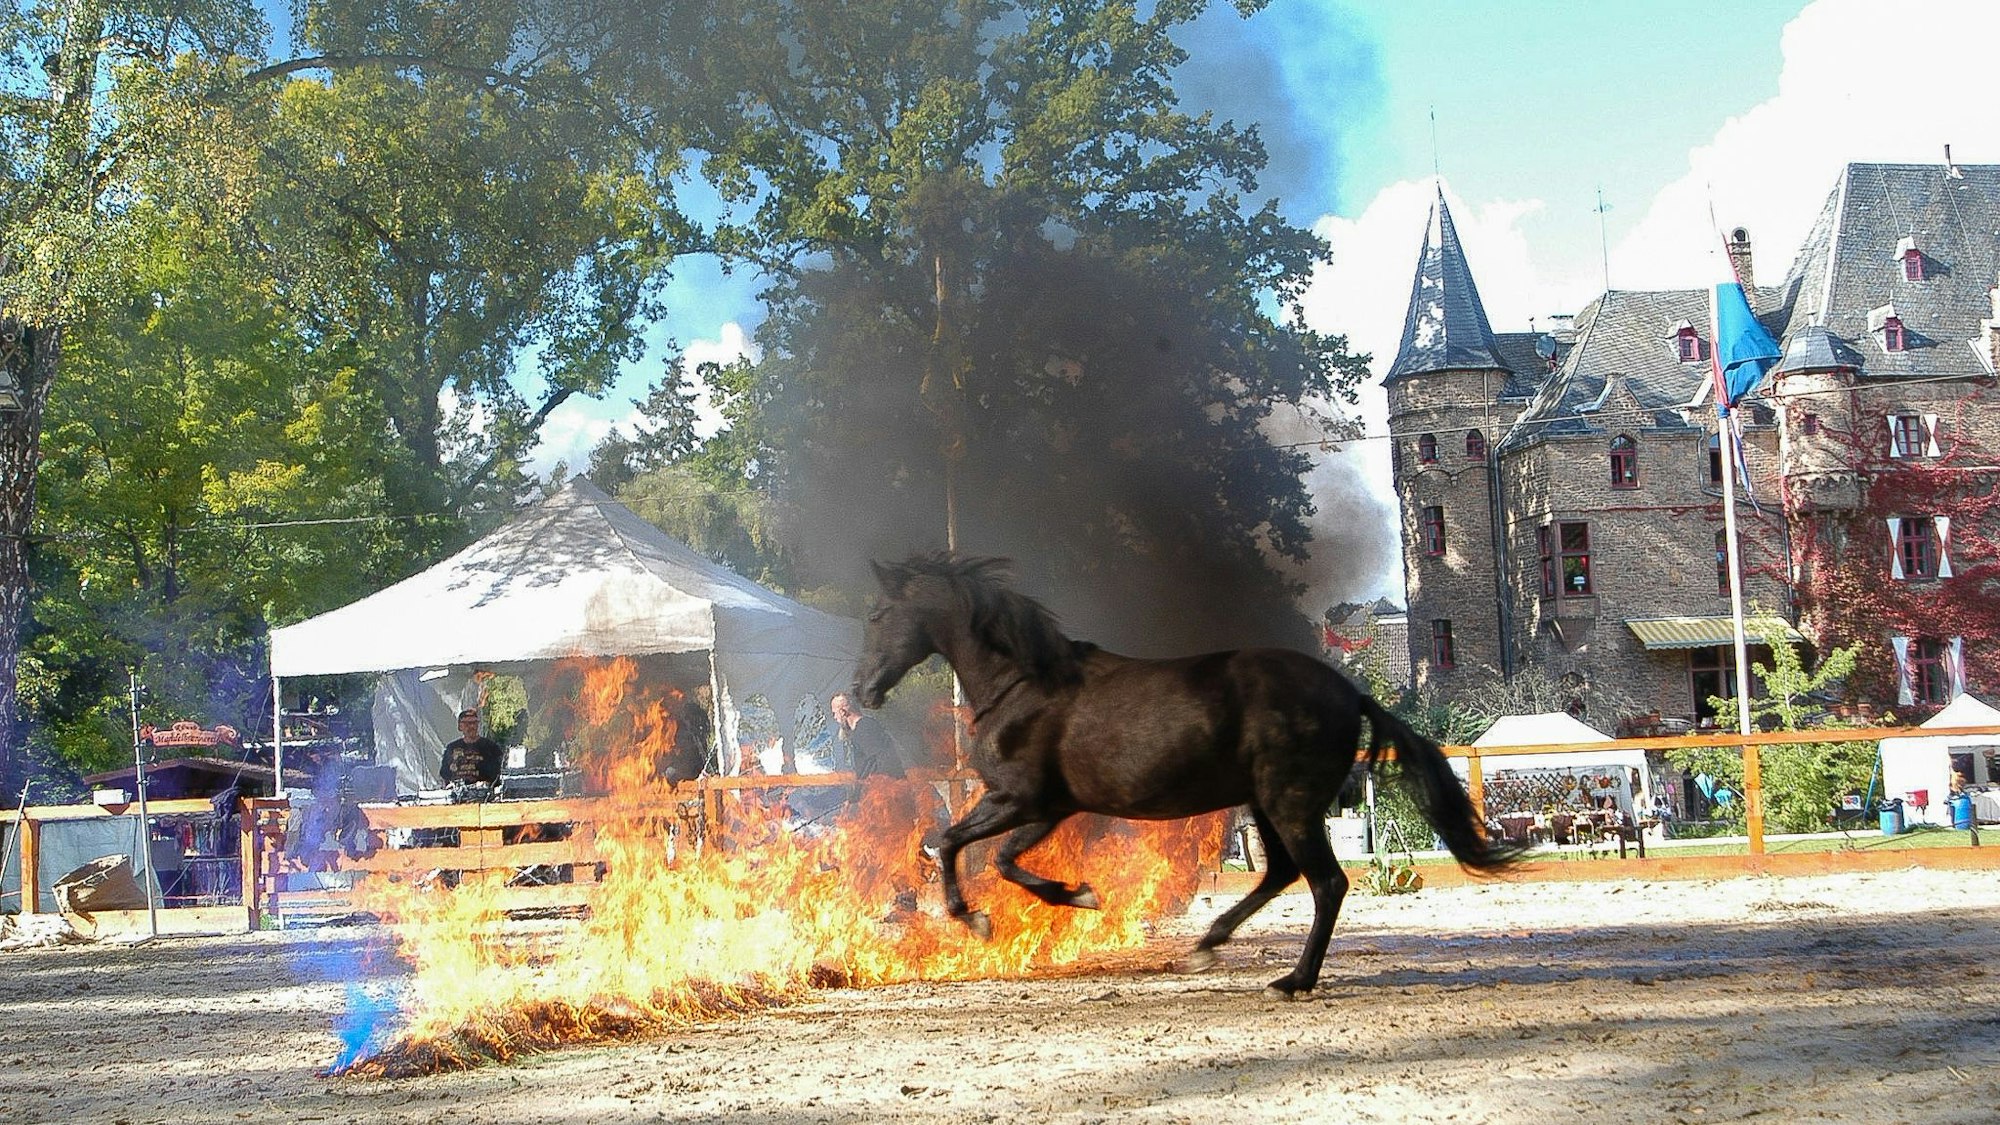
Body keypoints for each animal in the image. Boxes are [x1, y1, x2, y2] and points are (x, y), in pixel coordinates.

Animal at [852, 553, 1522, 998]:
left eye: (880, 613)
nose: (862, 692)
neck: (1024, 685)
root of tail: (1349, 691)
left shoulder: (1019, 799)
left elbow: (959, 847)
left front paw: (989, 915)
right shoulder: (1045, 807)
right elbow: (994, 857)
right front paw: (1072, 895)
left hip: (1289, 802)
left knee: (1326, 883)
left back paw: (1293, 979)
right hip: (1264, 804)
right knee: (1281, 874)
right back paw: (1207, 946)